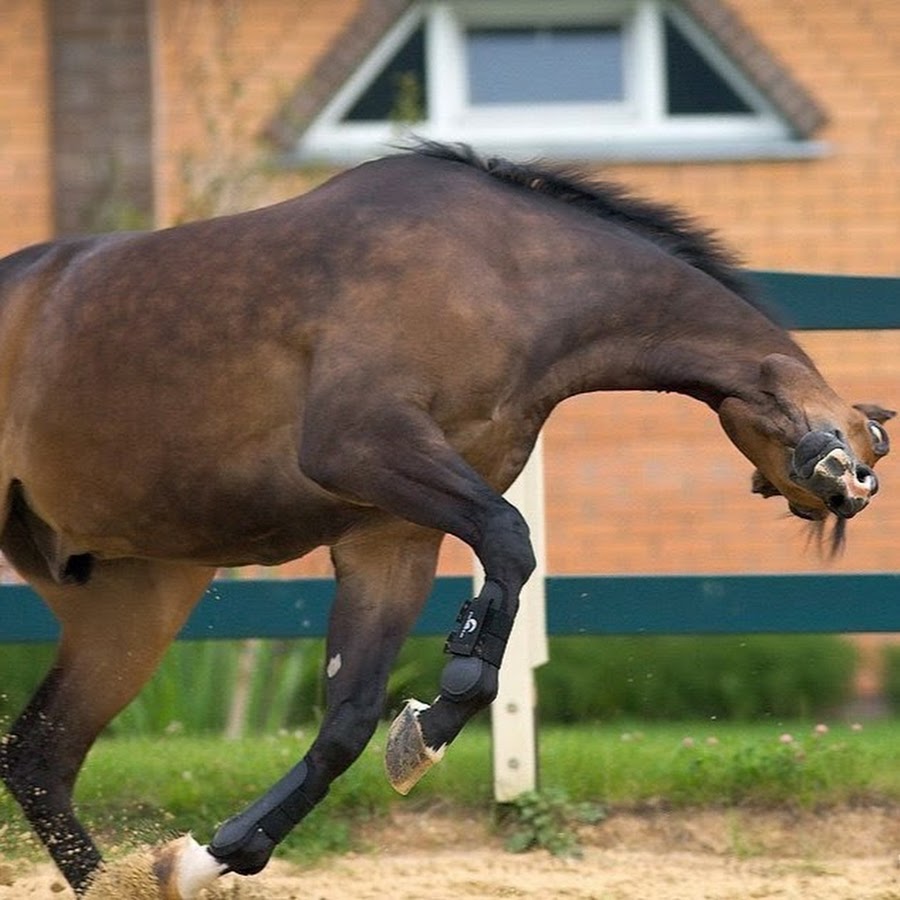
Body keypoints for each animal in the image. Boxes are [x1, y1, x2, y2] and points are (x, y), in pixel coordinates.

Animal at [0, 144, 888, 896]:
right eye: (852, 455)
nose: (849, 489)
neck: (506, 272)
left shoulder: (390, 536)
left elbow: (350, 719)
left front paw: (215, 853)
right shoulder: (363, 445)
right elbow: (509, 546)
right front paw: (447, 700)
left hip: (134, 598)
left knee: (40, 758)